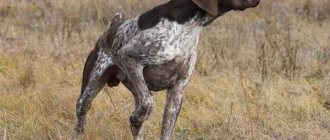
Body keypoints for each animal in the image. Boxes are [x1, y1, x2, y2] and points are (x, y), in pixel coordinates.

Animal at [73, 0, 260, 139]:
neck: (190, 26)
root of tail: (111, 28)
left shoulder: (178, 88)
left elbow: (166, 127)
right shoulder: (128, 57)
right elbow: (145, 104)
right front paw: (135, 117)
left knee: (140, 123)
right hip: (88, 93)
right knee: (81, 121)